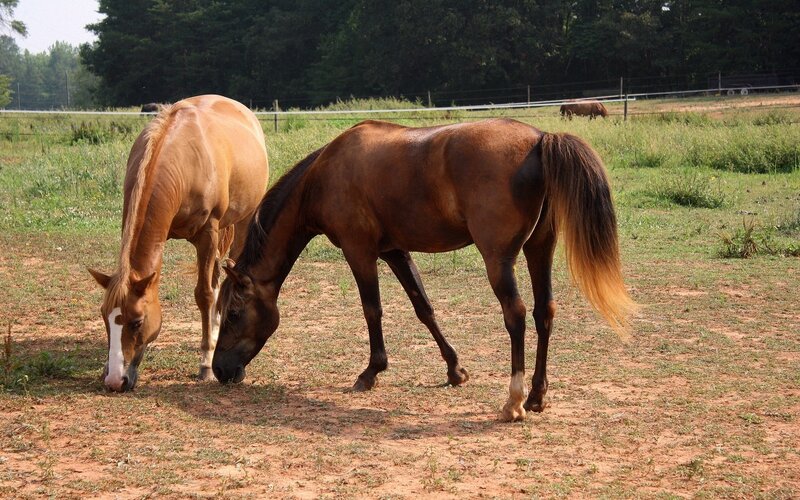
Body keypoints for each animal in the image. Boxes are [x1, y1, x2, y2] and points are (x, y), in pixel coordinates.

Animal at [88, 94, 269, 392]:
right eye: (104, 317)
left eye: (137, 322)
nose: (115, 380)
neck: (180, 161)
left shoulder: (208, 234)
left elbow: (205, 294)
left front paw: (206, 363)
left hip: (242, 221)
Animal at [213, 118, 635, 421]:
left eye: (233, 313)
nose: (219, 370)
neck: (324, 175)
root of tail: (540, 139)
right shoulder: (395, 251)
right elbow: (424, 307)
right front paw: (455, 370)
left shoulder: (359, 251)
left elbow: (372, 310)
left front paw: (371, 372)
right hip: (539, 250)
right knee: (543, 312)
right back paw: (535, 396)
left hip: (499, 260)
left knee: (515, 315)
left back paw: (513, 402)